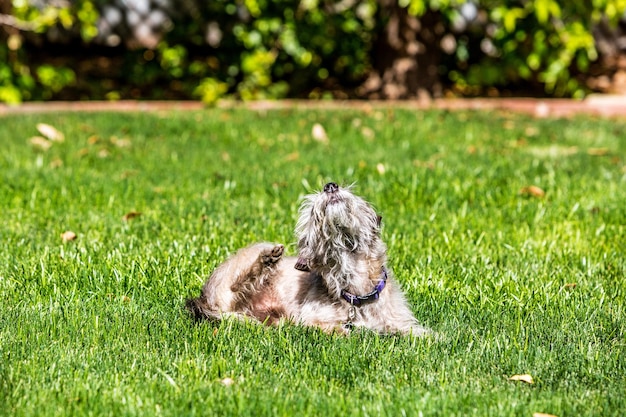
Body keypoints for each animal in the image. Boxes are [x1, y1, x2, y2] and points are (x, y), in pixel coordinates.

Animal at [185, 182, 428, 334]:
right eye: (313, 213)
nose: (330, 185)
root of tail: (204, 297)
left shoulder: (398, 321)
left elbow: (417, 332)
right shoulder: (308, 318)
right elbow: (323, 325)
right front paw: (340, 330)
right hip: (248, 260)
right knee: (237, 285)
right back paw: (266, 260)